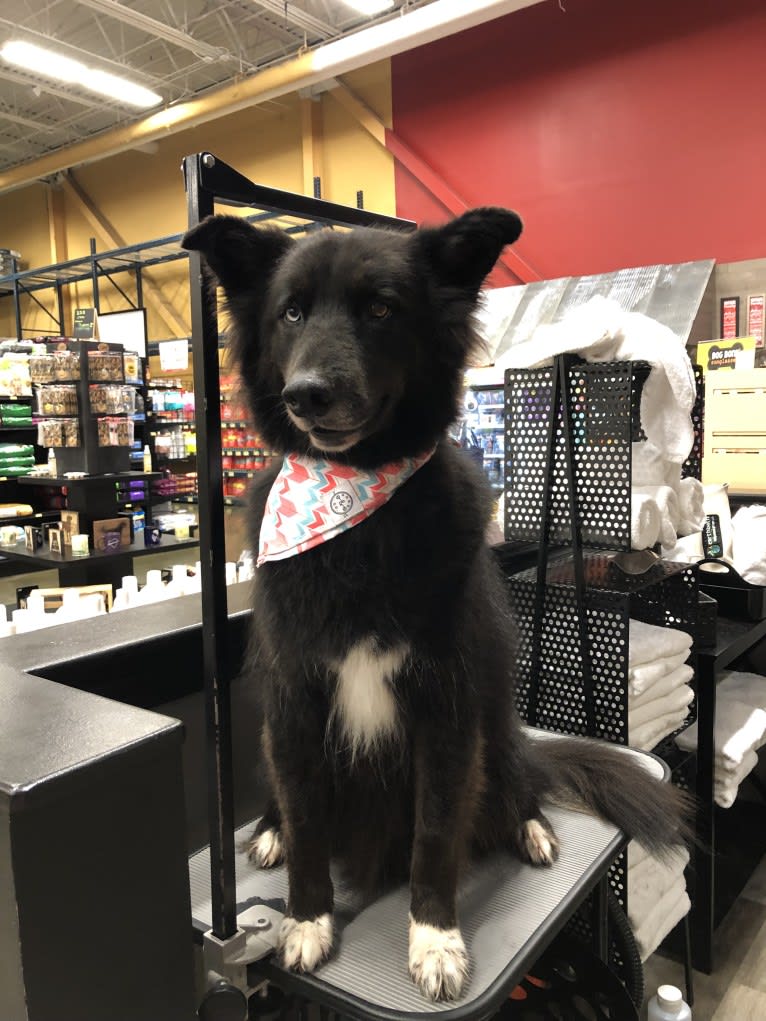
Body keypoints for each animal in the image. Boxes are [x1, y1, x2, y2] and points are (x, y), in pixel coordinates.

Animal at [184, 211, 690, 1000]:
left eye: (382, 309)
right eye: (290, 313)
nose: (308, 394)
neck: (356, 508)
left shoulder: (448, 706)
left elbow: (435, 833)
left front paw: (435, 938)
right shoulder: (296, 699)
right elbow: (307, 825)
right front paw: (307, 919)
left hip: (495, 713)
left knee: (514, 774)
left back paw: (529, 824)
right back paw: (265, 829)